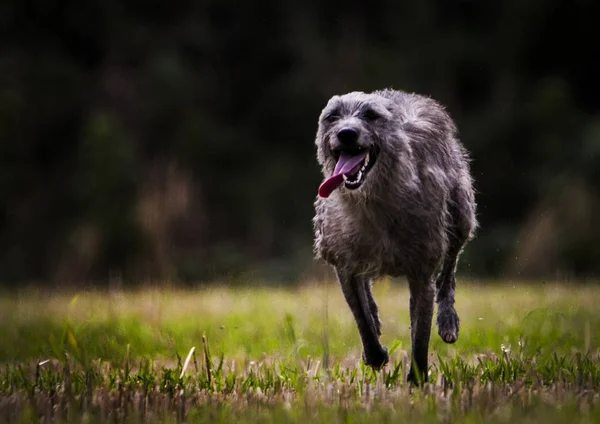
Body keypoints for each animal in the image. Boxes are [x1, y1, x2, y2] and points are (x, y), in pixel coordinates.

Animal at [312, 88, 476, 382]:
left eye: (370, 115)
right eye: (332, 116)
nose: (346, 133)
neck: (373, 203)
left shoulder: (422, 272)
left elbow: (420, 335)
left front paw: (418, 379)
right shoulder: (344, 265)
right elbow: (361, 316)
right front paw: (375, 353)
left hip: (461, 214)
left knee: (449, 268)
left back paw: (448, 320)